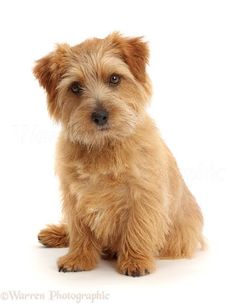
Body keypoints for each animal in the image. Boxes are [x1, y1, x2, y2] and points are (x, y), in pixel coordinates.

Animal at [34, 32, 204, 276]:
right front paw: (79, 257)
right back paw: (56, 234)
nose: (100, 116)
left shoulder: (143, 194)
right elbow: (80, 231)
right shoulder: (74, 195)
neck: (104, 146)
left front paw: (135, 261)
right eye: (75, 87)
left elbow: (138, 227)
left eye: (114, 78)